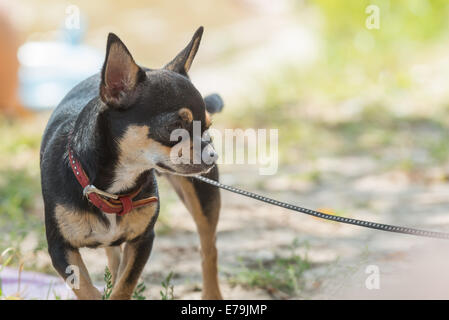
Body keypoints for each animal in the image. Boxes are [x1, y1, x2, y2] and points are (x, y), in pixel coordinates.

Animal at [40, 27, 224, 300]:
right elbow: (87, 289)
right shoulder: (61, 249)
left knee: (208, 248)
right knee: (114, 258)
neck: (113, 189)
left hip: (203, 196)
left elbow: (124, 285)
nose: (212, 155)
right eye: (174, 127)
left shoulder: (143, 240)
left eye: (208, 128)